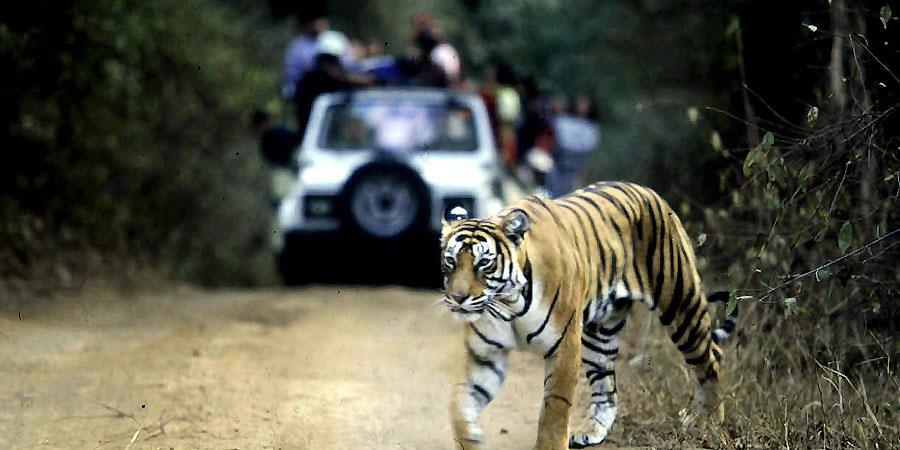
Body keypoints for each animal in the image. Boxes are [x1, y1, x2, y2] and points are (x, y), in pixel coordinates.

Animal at [438, 181, 740, 448]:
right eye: (450, 261)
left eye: (484, 263)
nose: (458, 298)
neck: (507, 304)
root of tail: (650, 192)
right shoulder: (485, 356)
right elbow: (461, 403)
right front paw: (471, 439)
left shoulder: (564, 347)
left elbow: (554, 409)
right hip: (600, 333)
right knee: (606, 385)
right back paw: (592, 431)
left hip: (680, 303)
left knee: (712, 357)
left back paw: (709, 420)